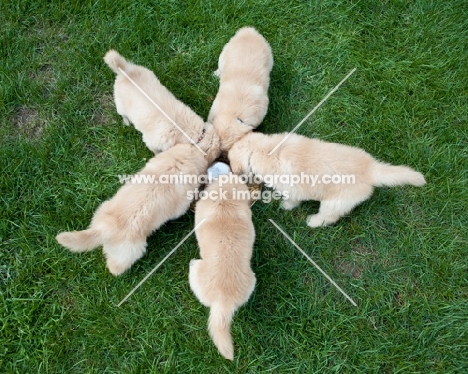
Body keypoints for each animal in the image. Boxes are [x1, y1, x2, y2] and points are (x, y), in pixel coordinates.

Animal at [229, 133, 426, 226]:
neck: (266, 150)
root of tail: (371, 170)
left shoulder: (291, 189)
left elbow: (291, 201)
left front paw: (285, 207)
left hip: (335, 202)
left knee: (329, 217)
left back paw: (313, 221)